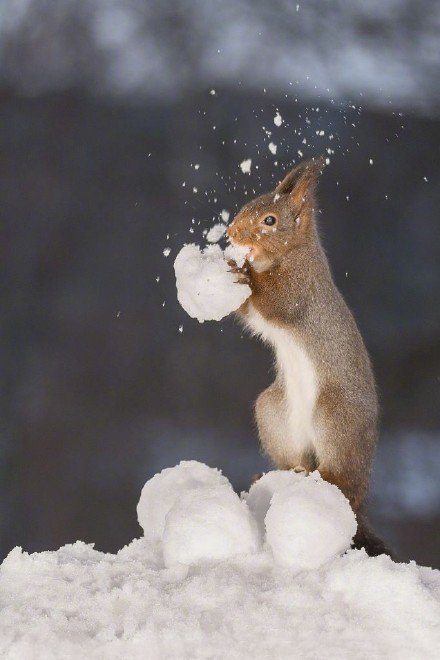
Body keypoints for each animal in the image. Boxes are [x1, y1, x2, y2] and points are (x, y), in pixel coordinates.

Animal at [227, 156, 392, 556]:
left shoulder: (299, 290)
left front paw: (242, 270)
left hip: (334, 415)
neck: (292, 254)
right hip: (273, 411)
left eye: (270, 221)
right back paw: (290, 471)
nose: (230, 233)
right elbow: (251, 313)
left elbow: (272, 301)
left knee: (339, 477)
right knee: (297, 459)